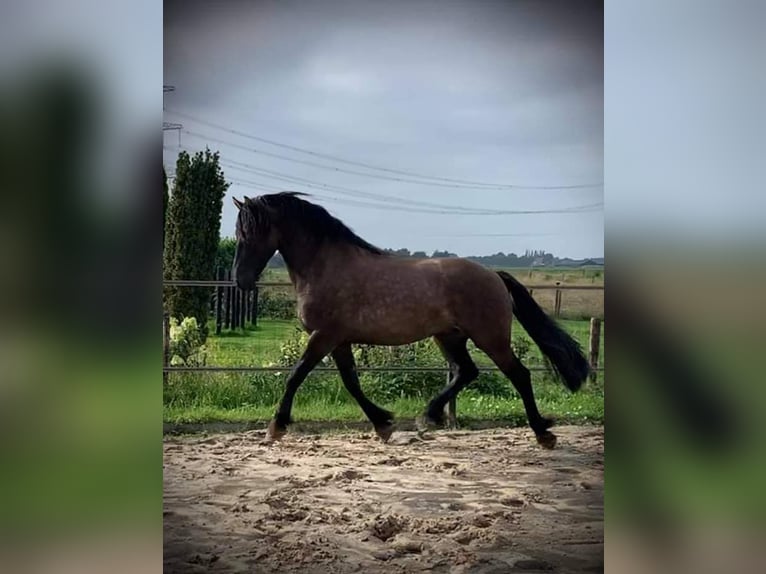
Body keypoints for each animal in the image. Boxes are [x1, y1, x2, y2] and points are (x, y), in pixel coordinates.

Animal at [231, 194, 592, 450]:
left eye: (251, 232)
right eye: (238, 233)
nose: (241, 281)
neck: (325, 267)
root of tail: (493, 275)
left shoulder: (324, 336)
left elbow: (296, 376)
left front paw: (276, 427)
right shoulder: (339, 340)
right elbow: (351, 382)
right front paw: (384, 425)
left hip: (490, 337)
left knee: (518, 374)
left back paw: (543, 434)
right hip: (449, 337)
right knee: (466, 371)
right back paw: (428, 417)